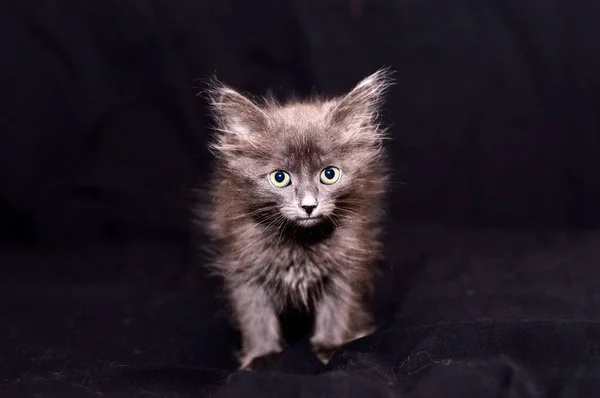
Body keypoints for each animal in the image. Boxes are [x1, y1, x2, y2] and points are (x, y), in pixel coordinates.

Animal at [198, 68, 394, 370]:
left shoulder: (348, 263)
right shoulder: (243, 266)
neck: (300, 240)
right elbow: (255, 315)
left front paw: (330, 347)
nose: (309, 206)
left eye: (329, 174)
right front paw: (260, 356)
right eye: (280, 178)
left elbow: (338, 308)